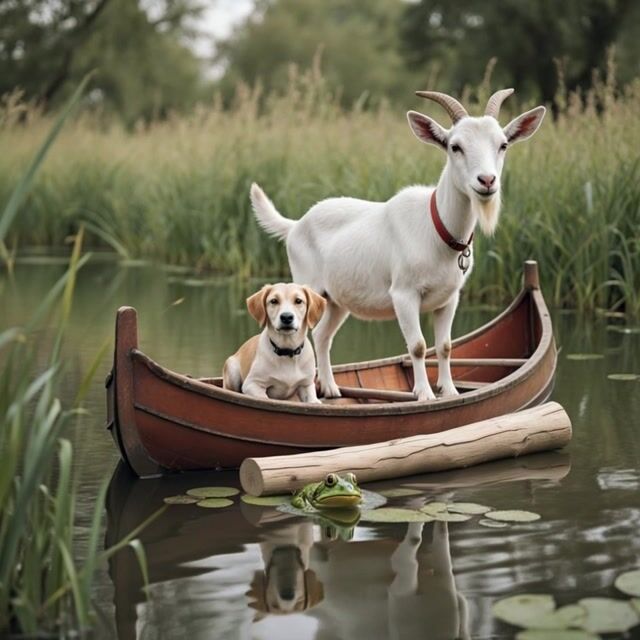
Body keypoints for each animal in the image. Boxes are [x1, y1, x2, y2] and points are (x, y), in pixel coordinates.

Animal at [250, 89, 545, 401]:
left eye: (503, 144)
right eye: (455, 147)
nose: (487, 181)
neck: (437, 229)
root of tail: (295, 225)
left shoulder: (450, 297)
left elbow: (445, 346)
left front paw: (450, 391)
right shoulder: (404, 294)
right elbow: (417, 346)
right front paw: (425, 395)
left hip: (335, 299)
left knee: (322, 335)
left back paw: (330, 388)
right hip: (307, 285)